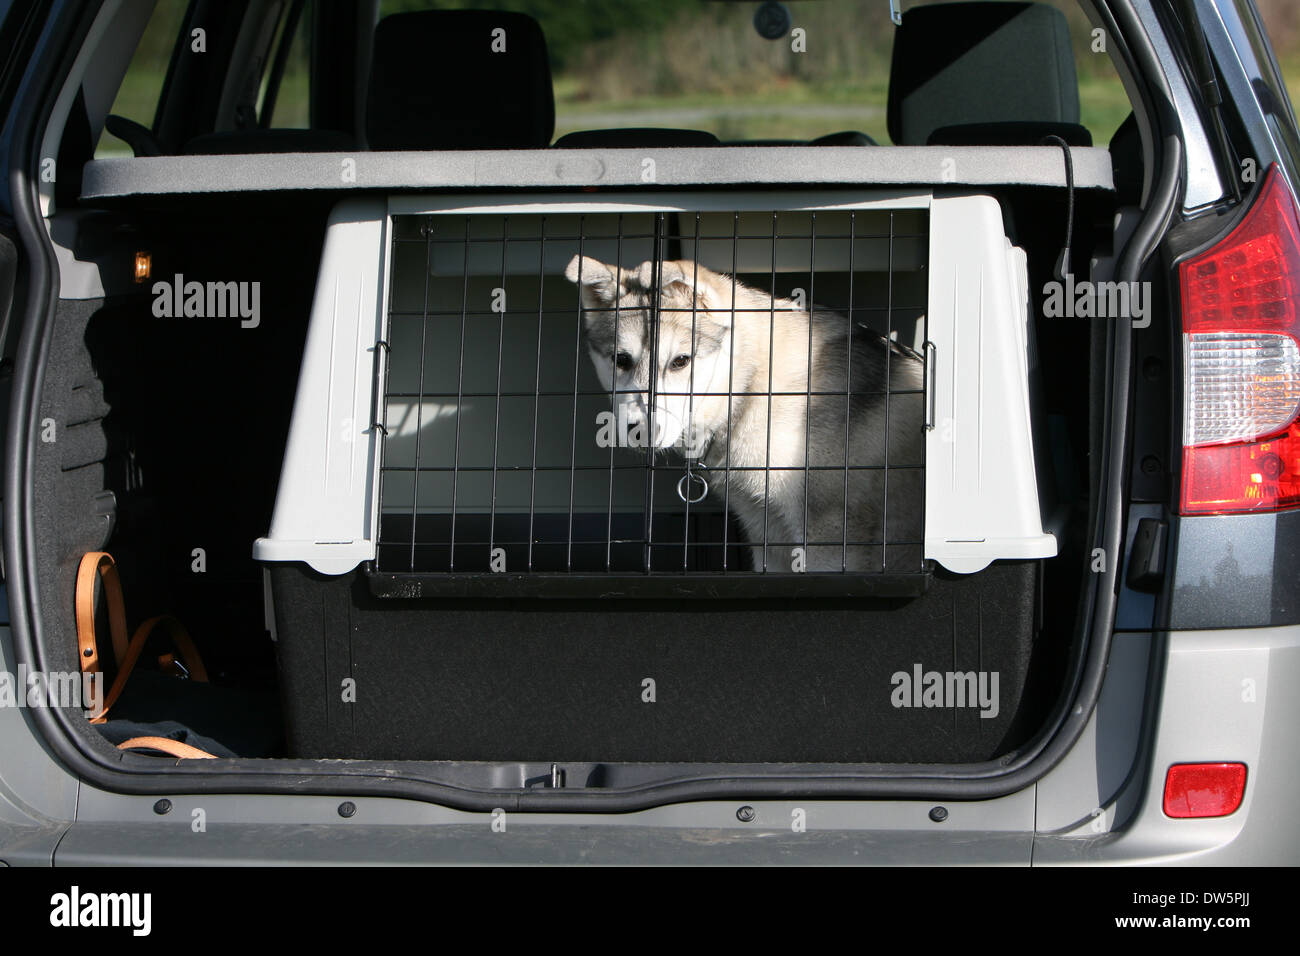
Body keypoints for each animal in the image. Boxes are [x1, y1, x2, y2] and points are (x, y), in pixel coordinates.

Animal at [564, 254, 920, 572]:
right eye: (621, 360)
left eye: (680, 361)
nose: (639, 429)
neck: (753, 385)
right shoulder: (768, 537)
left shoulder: (829, 538)